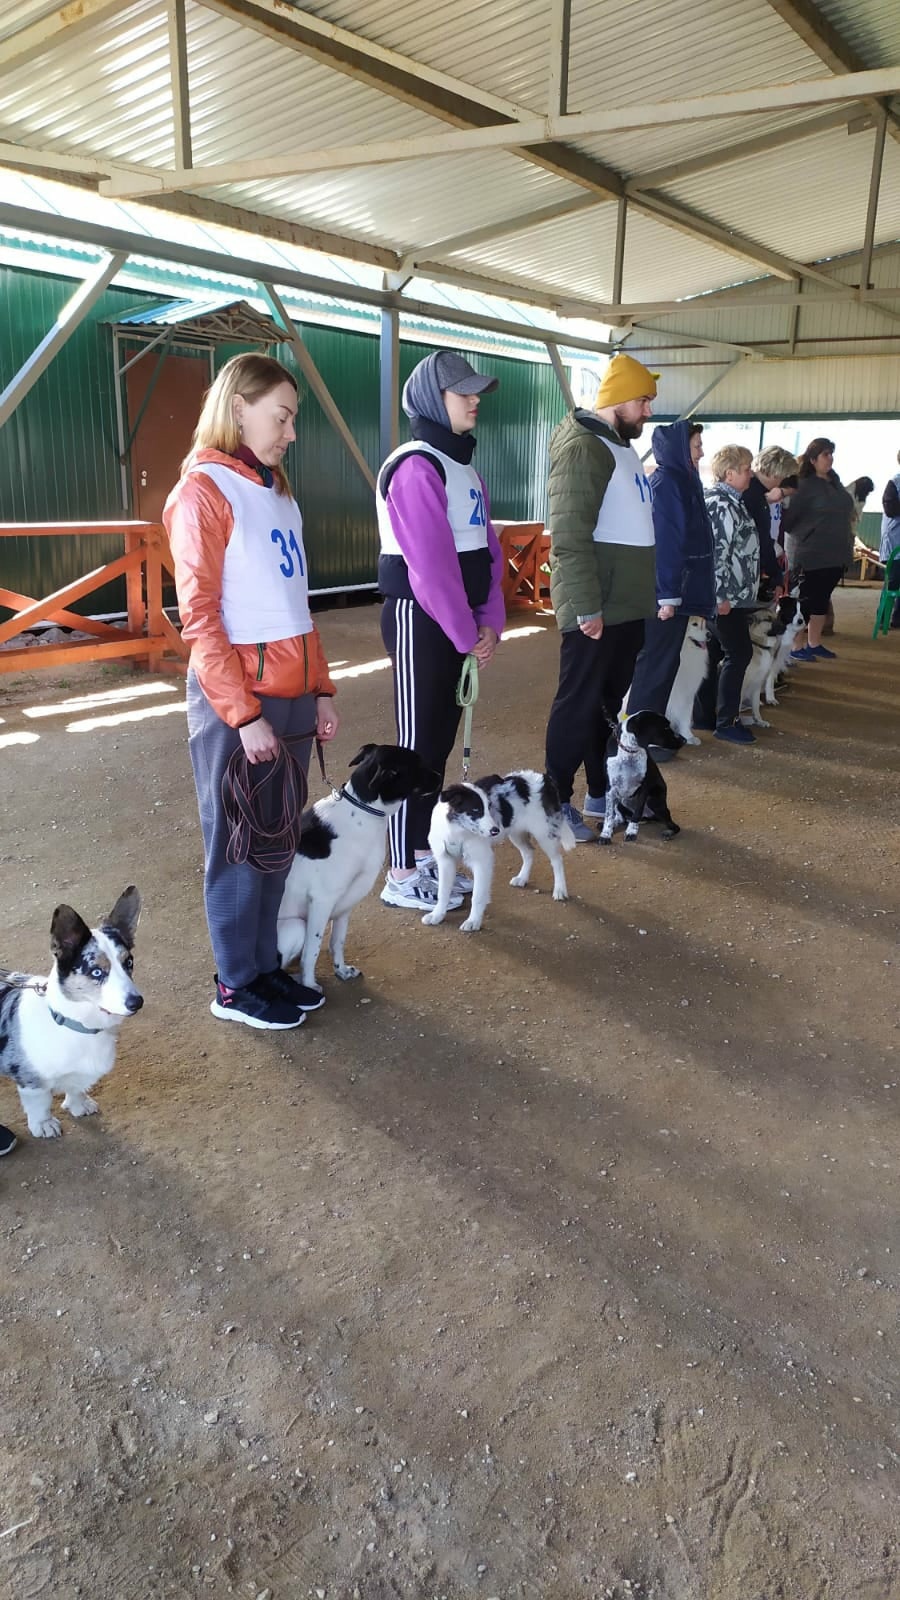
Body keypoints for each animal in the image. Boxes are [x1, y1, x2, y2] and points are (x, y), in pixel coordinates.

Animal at [0, 889, 141, 1139]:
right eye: (96, 971)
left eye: (129, 962)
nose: (137, 1002)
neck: (78, 1025)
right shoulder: (31, 1081)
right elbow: (40, 1104)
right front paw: (44, 1125)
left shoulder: (80, 1074)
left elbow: (76, 1089)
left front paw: (79, 1106)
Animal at [278, 739, 435, 985]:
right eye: (416, 766)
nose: (439, 777)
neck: (362, 811)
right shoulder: (321, 902)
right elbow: (312, 951)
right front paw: (310, 984)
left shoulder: (345, 905)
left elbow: (337, 942)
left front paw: (341, 970)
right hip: (295, 926)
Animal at [422, 768, 573, 934]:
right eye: (476, 810)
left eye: (489, 808)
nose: (495, 830)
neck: (458, 832)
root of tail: (545, 778)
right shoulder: (445, 861)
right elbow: (442, 892)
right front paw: (437, 915)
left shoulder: (482, 861)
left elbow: (478, 895)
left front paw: (473, 921)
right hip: (516, 833)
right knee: (529, 852)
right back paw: (522, 878)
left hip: (543, 833)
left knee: (557, 860)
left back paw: (559, 889)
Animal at [598, 707, 675, 844]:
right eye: (665, 727)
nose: (684, 740)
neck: (630, 752)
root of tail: (649, 816)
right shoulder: (610, 789)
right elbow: (608, 815)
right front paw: (606, 834)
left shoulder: (644, 788)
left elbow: (637, 813)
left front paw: (631, 832)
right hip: (621, 800)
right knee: (621, 817)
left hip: (653, 800)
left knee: (673, 825)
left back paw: (669, 832)